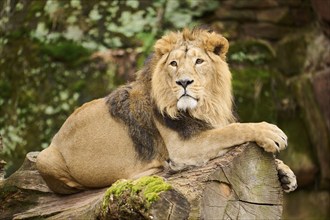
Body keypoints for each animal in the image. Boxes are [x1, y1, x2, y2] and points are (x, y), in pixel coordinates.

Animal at [36, 27, 296, 194]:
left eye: (199, 61)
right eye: (174, 64)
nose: (183, 82)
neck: (206, 105)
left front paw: (285, 173)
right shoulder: (184, 146)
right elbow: (232, 130)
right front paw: (271, 133)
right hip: (45, 158)